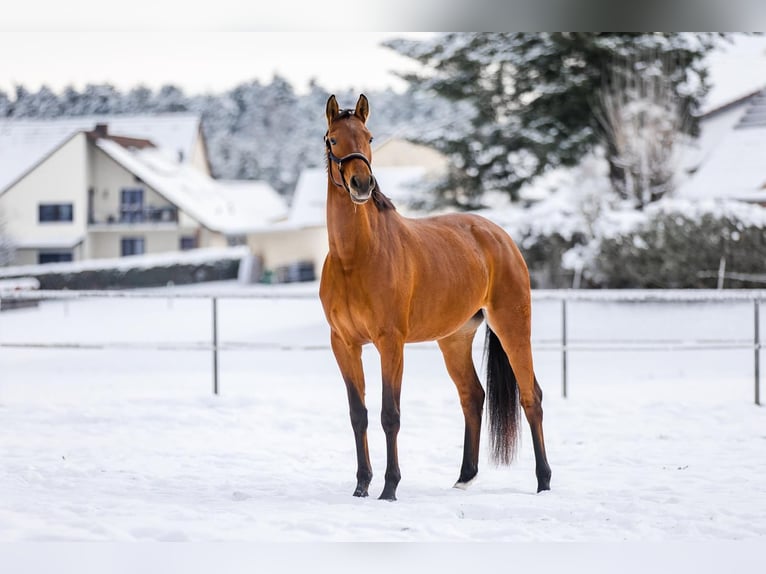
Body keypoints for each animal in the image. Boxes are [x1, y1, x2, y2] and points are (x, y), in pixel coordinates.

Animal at [318, 93, 552, 500]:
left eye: (369, 137)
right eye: (333, 139)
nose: (362, 184)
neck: (355, 257)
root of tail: (499, 236)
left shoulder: (390, 343)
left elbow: (389, 414)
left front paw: (389, 487)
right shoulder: (344, 345)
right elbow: (358, 414)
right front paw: (362, 485)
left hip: (512, 326)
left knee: (530, 397)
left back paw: (543, 482)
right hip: (455, 339)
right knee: (473, 397)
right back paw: (464, 477)